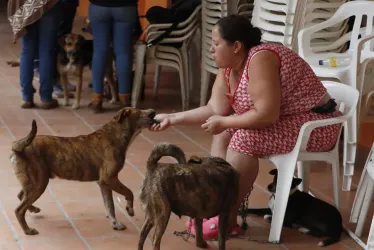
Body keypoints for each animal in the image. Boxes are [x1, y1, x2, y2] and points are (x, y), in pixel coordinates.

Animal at [9, 107, 158, 234]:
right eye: (140, 111)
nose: (153, 111)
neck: (116, 133)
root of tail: (18, 147)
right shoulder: (109, 178)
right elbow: (129, 192)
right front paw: (130, 209)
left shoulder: (104, 183)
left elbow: (110, 205)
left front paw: (115, 223)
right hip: (39, 183)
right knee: (19, 209)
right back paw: (27, 230)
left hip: (33, 181)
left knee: (20, 196)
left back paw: (33, 209)